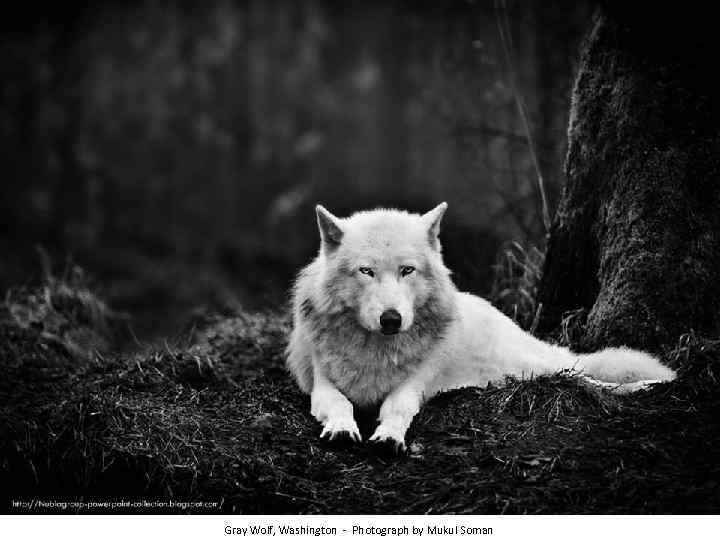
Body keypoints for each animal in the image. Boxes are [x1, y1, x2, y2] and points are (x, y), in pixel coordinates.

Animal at [286, 202, 676, 452]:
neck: (376, 351)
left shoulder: (413, 386)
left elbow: (396, 408)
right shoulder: (322, 385)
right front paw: (341, 428)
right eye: (366, 271)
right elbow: (340, 404)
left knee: (586, 378)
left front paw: (389, 437)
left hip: (536, 367)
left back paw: (648, 385)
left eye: (407, 270)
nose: (391, 319)